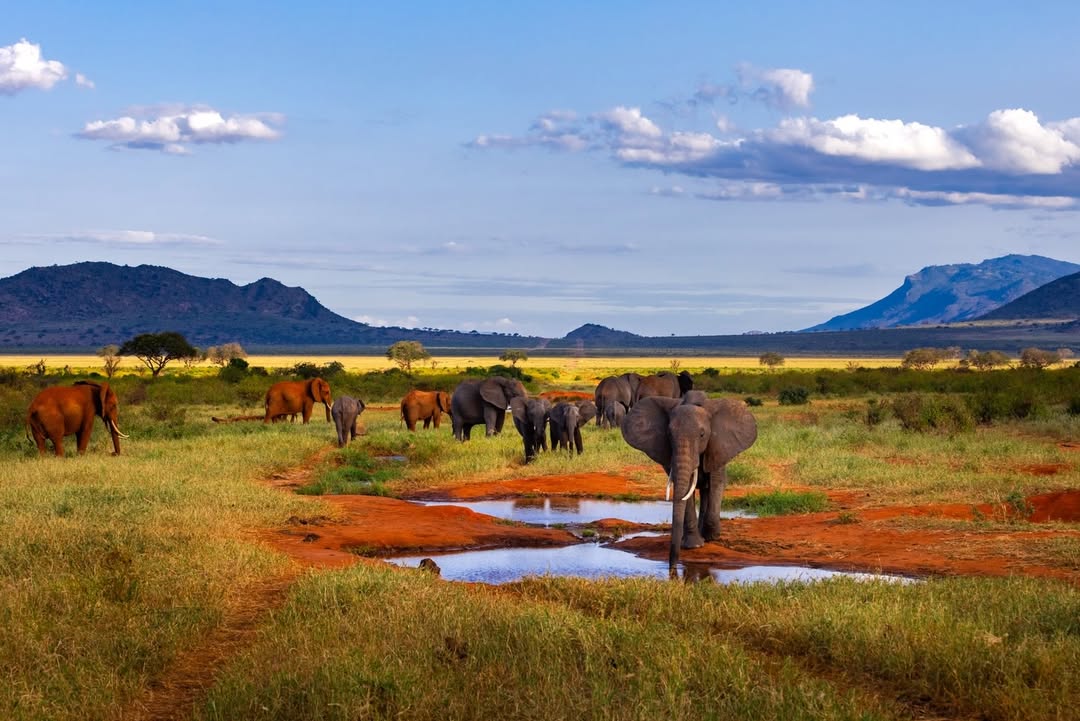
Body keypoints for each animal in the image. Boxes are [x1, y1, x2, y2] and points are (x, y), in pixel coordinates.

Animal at [622, 390, 757, 567]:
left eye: (702, 434)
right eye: (668, 434)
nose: (672, 567)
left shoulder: (718, 446)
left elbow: (716, 483)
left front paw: (712, 537)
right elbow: (685, 492)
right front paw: (694, 545)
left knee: (707, 491)